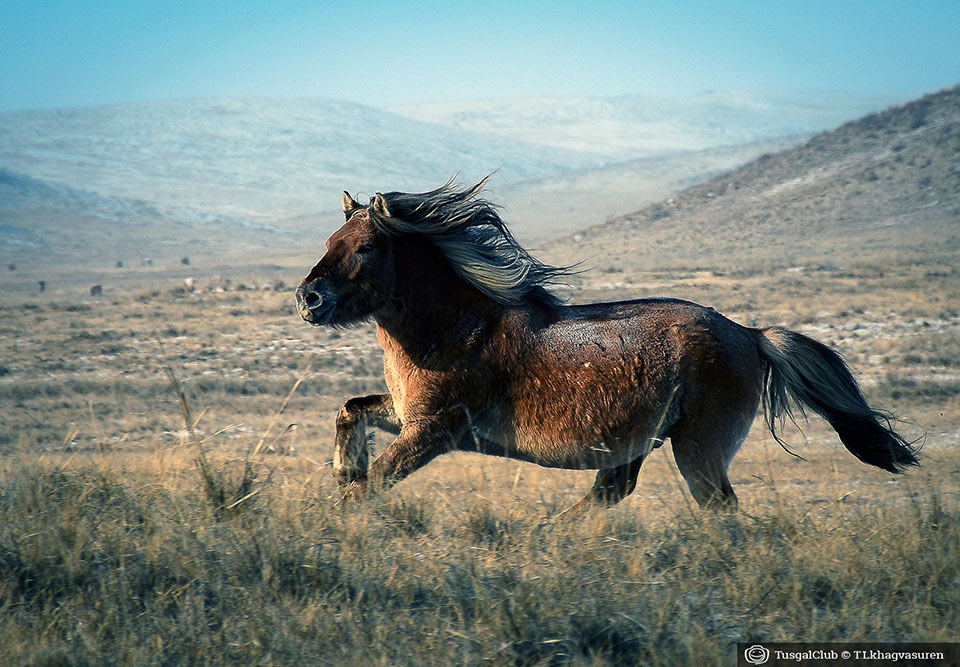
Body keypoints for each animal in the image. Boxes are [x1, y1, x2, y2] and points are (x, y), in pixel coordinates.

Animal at [295, 177, 918, 513]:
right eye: (330, 239)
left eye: (366, 246)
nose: (308, 298)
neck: (452, 328)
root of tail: (750, 335)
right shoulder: (409, 417)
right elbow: (350, 411)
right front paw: (343, 468)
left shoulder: (435, 430)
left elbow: (370, 487)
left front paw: (338, 514)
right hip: (640, 440)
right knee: (613, 491)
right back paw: (549, 539)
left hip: (698, 449)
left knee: (717, 507)